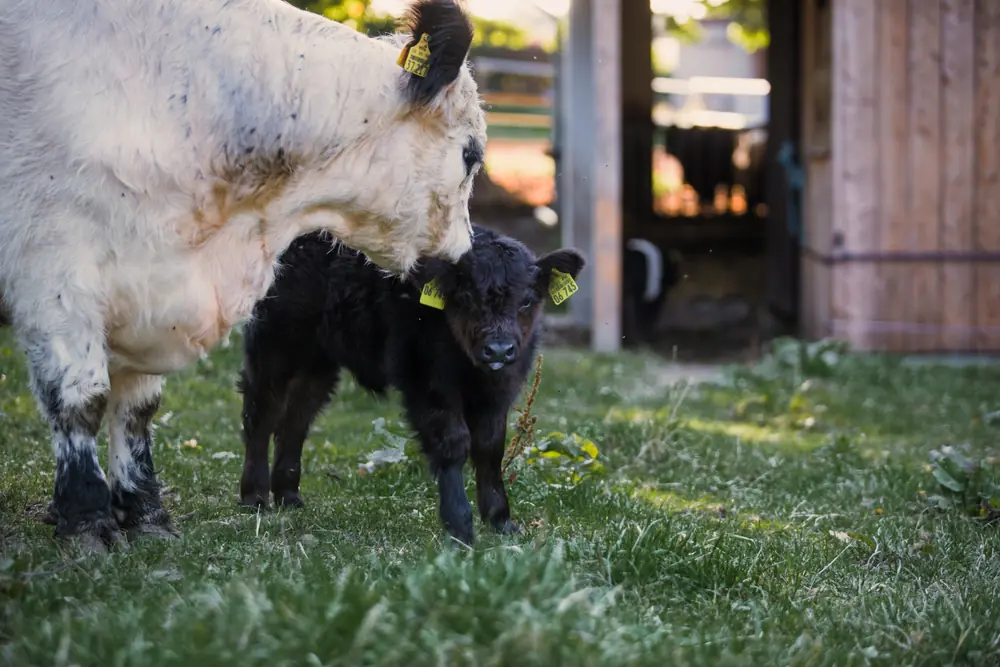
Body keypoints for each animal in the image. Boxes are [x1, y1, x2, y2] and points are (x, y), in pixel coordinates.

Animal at [0, 0, 486, 552]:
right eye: (471, 154)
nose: (463, 256)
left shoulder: (147, 294)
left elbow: (137, 409)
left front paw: (145, 514)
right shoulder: (54, 268)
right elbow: (81, 399)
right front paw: (87, 520)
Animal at [237, 225, 586, 546]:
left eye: (526, 301)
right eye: (466, 297)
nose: (498, 350)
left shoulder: (500, 390)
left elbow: (490, 448)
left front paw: (501, 521)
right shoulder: (427, 381)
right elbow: (453, 442)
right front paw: (460, 527)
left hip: (318, 362)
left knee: (296, 420)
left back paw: (289, 497)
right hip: (274, 343)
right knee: (261, 414)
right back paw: (255, 498)